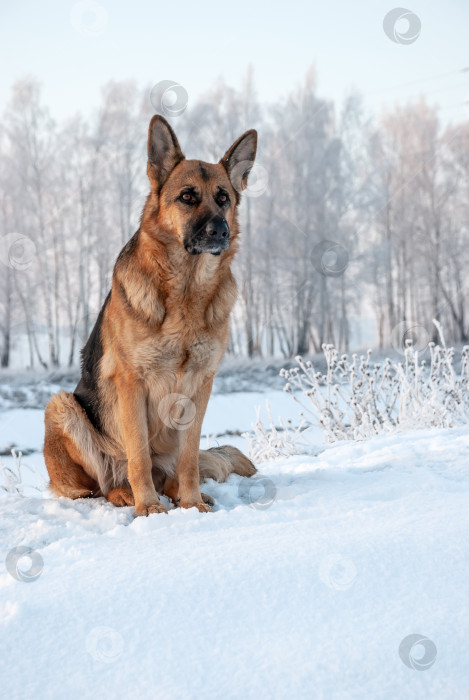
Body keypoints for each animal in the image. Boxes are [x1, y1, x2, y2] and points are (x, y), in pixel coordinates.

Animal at [44, 115, 256, 516]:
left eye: (223, 197)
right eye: (187, 196)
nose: (220, 230)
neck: (186, 291)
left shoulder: (201, 385)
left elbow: (189, 459)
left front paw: (192, 503)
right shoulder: (132, 383)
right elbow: (139, 455)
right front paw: (148, 508)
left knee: (173, 470)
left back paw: (183, 493)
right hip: (61, 407)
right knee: (104, 485)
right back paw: (127, 494)